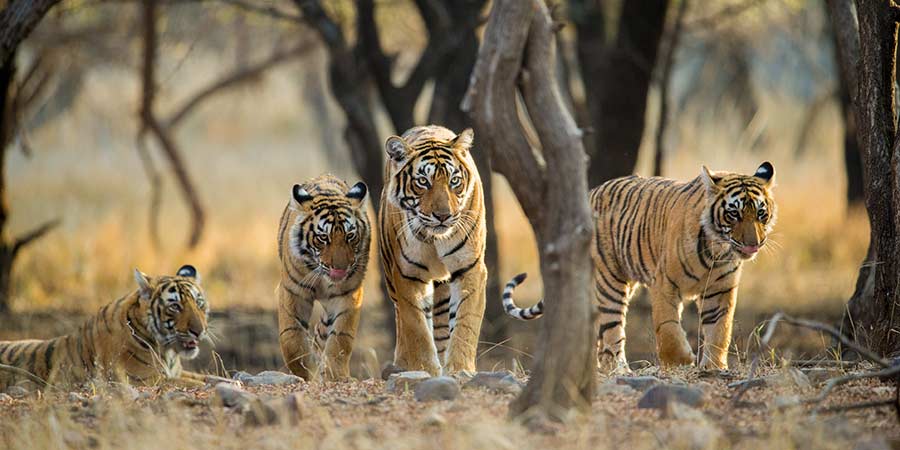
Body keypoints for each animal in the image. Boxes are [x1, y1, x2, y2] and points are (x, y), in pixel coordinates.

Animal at [0, 265, 211, 390]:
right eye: (175, 306)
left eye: (199, 303)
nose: (199, 331)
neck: (168, 352)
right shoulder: (145, 379)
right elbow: (195, 383)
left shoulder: (176, 372)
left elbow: (208, 377)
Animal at [276, 174, 370, 381]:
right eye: (323, 238)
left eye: (350, 236)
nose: (340, 269)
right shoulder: (293, 291)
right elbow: (291, 339)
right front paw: (306, 372)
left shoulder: (349, 295)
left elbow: (341, 338)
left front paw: (335, 375)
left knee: (323, 331)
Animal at [379, 125, 487, 376]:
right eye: (422, 182)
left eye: (454, 181)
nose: (443, 216)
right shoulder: (407, 274)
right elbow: (416, 328)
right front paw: (424, 369)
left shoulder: (470, 268)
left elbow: (466, 322)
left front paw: (459, 369)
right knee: (403, 320)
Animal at [503, 162, 777, 372]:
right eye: (734, 214)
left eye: (760, 214)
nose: (754, 243)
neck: (717, 250)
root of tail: (590, 192)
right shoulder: (664, 284)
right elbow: (667, 327)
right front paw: (681, 361)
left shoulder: (720, 291)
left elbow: (720, 330)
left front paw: (714, 367)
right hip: (610, 282)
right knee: (612, 332)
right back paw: (619, 370)